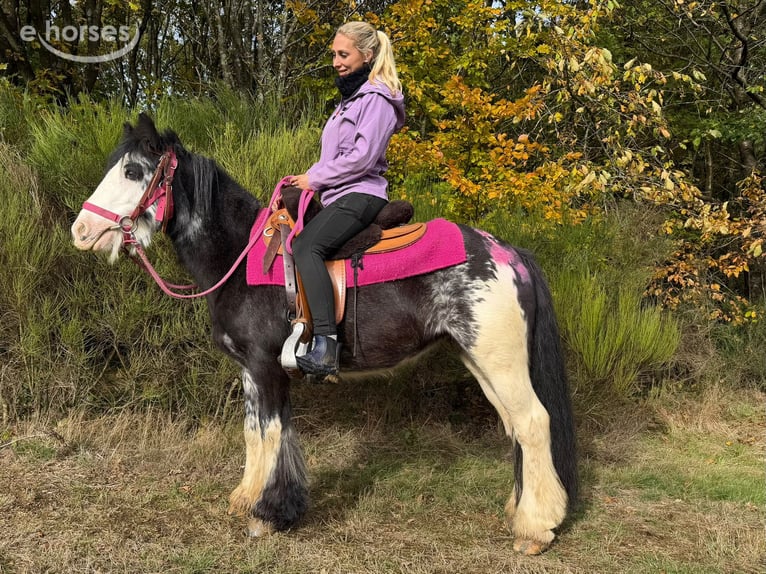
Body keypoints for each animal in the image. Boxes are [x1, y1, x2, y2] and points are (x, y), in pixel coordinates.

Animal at [70, 113, 577, 555]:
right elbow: (254, 432)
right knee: (515, 428)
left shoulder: (267, 366)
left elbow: (274, 433)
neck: (240, 258)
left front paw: (269, 515)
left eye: (133, 171)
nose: (81, 230)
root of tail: (507, 252)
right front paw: (246, 498)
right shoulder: (250, 371)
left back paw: (536, 530)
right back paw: (519, 512)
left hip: (500, 361)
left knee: (534, 423)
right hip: (479, 360)